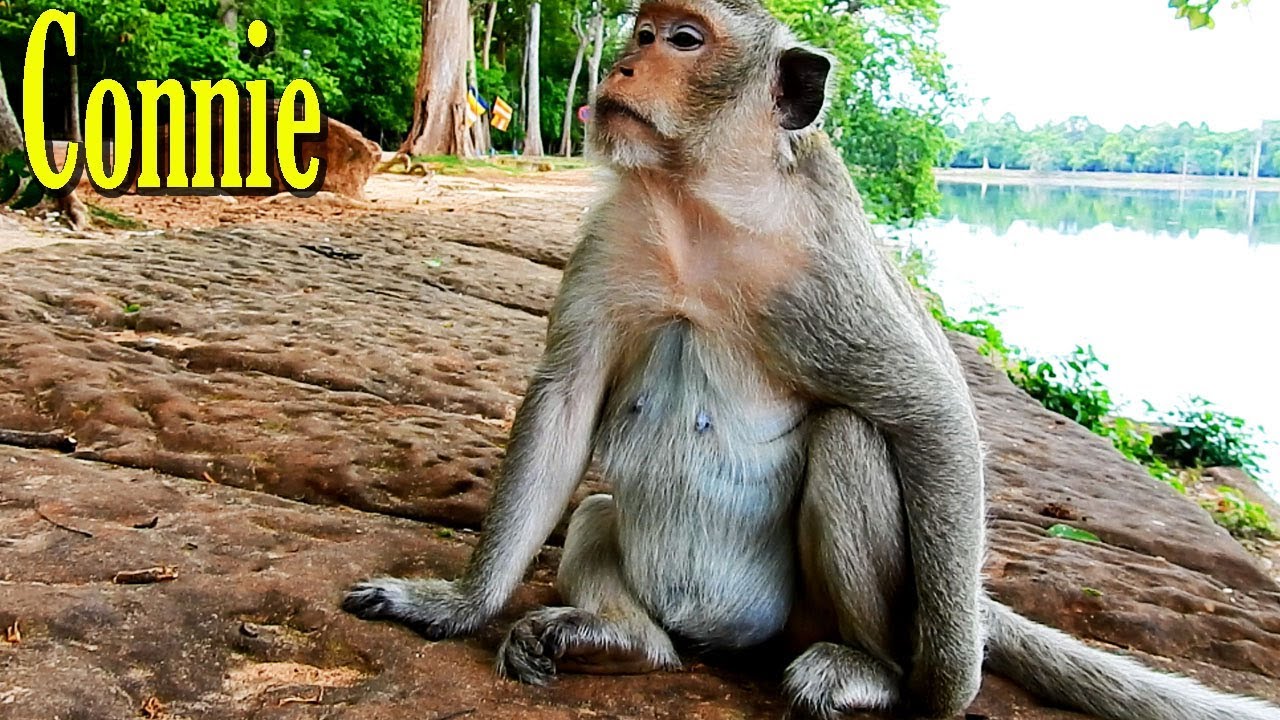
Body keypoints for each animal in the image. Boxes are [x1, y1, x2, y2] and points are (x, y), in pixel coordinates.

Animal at [343, 1, 1280, 718]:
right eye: (642, 31)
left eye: (685, 39)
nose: (622, 66)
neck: (704, 201)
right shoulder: (614, 232)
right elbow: (566, 402)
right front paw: (457, 605)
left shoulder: (826, 267)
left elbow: (932, 413)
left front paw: (943, 691)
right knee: (603, 509)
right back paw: (624, 640)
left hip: (811, 614)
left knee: (851, 442)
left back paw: (872, 670)